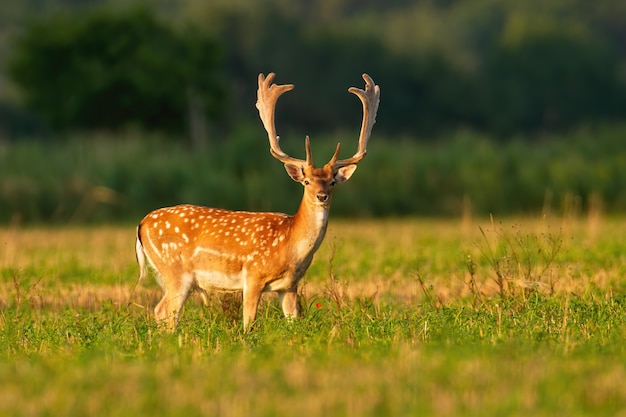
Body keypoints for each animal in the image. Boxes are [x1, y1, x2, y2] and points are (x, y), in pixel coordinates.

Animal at [134, 72, 378, 332]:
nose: (322, 196)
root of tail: (141, 225)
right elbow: (248, 322)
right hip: (175, 269)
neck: (289, 245)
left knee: (161, 311)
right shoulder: (253, 275)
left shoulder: (289, 286)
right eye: (307, 182)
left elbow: (293, 322)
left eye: (332, 182)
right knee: (165, 312)